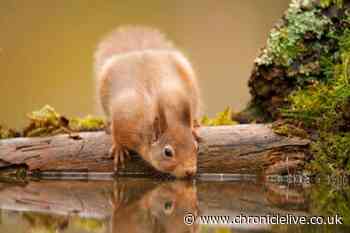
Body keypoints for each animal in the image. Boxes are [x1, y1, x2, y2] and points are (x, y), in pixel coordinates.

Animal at [94, 26, 201, 178]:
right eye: (167, 152)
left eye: (196, 147)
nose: (190, 171)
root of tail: (139, 51)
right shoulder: (124, 118)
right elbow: (117, 133)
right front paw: (119, 148)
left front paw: (192, 127)